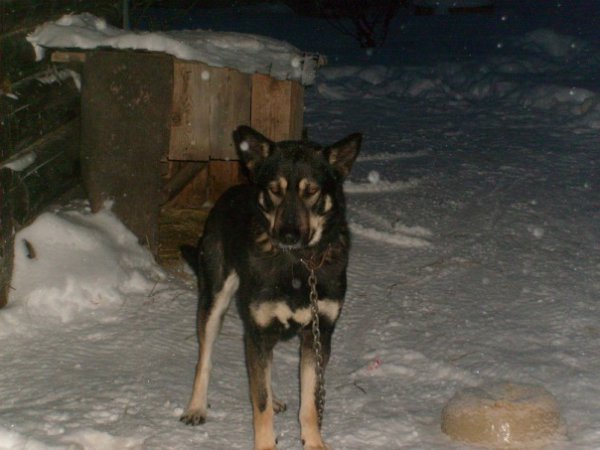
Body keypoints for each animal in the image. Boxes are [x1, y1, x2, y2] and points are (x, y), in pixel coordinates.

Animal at [180, 125, 361, 450]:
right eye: (275, 190)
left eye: (311, 191)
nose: (288, 235)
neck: (299, 264)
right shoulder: (258, 330)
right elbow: (260, 403)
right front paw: (266, 443)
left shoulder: (318, 334)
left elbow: (309, 402)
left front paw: (314, 442)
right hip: (215, 299)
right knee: (205, 359)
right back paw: (196, 407)